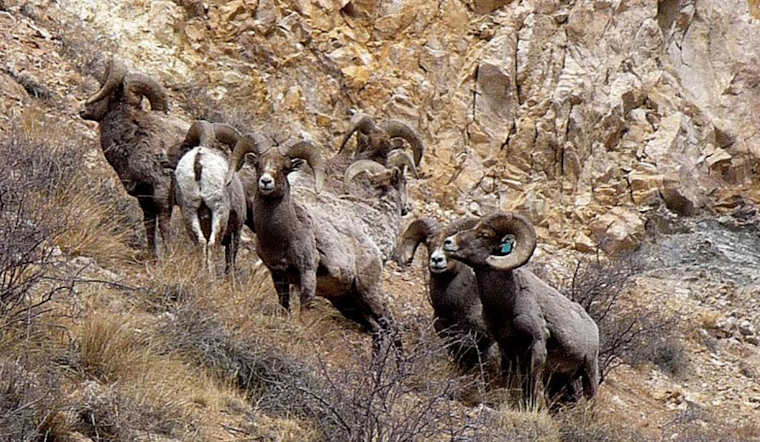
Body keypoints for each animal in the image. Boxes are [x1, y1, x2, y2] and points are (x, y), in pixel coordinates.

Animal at [79, 58, 190, 259]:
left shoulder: (161, 192)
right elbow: (149, 226)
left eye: (104, 90)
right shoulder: (144, 197)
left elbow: (164, 226)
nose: (83, 109)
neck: (133, 139)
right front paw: (152, 257)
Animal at [172, 120, 246, 277]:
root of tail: (198, 161)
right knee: (212, 244)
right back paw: (211, 277)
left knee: (200, 242)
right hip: (219, 211)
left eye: (185, 146)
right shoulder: (236, 232)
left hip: (189, 211)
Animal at [225, 132, 400, 353]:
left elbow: (304, 310)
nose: (266, 182)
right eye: (258, 164)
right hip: (349, 304)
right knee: (378, 332)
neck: (282, 235)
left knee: (393, 328)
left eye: (285, 167)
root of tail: (374, 251)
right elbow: (285, 307)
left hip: (370, 294)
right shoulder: (278, 275)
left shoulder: (307, 272)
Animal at [442, 212, 600, 404]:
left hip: (589, 370)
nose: (448, 242)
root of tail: (593, 327)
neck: (507, 303)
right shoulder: (507, 351)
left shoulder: (537, 345)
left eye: (484, 235)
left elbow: (533, 386)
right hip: (562, 379)